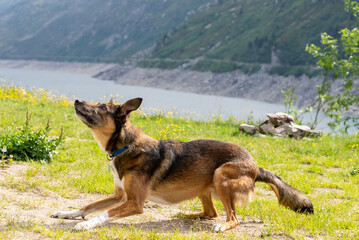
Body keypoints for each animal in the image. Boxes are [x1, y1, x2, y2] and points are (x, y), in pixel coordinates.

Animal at [52, 96, 314, 232]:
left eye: (101, 107)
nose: (76, 100)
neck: (125, 145)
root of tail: (255, 166)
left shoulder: (135, 203)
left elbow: (103, 213)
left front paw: (86, 225)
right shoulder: (120, 195)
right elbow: (88, 205)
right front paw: (67, 213)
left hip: (222, 175)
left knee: (232, 217)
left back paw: (222, 226)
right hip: (204, 185)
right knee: (211, 213)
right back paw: (187, 214)